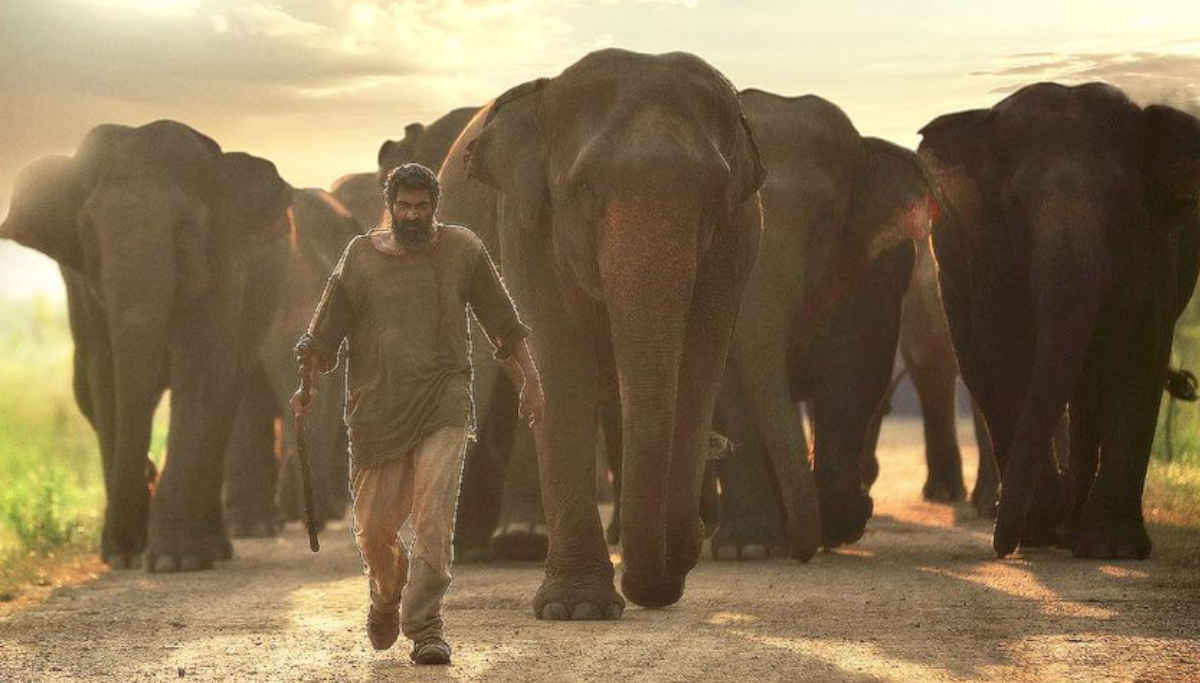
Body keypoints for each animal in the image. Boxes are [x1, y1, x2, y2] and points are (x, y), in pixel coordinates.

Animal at [3, 121, 294, 568]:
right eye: (88, 233)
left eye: (183, 231)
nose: (125, 552)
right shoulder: (81, 285)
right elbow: (104, 376)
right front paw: (124, 555)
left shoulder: (224, 266)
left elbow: (201, 371)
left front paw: (175, 562)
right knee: (87, 390)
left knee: (225, 400)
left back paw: (212, 549)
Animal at [436, 48, 763, 612]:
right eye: (584, 189)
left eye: (713, 195)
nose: (665, 580)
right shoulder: (525, 223)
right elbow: (558, 363)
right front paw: (577, 609)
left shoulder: (737, 234)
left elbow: (700, 363)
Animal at [916, 82, 1200, 556]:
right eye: (1014, 202)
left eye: (1121, 202)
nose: (1000, 547)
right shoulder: (989, 248)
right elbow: (1002, 344)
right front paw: (1037, 527)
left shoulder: (1153, 244)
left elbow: (1137, 347)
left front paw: (1111, 548)